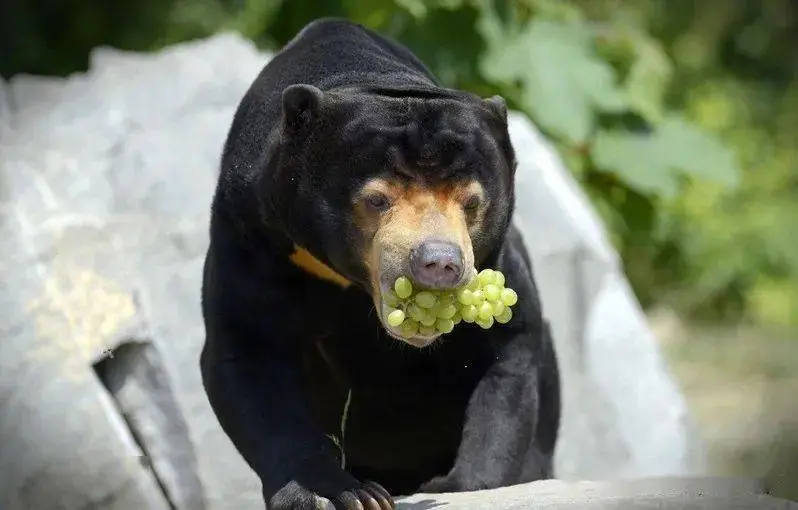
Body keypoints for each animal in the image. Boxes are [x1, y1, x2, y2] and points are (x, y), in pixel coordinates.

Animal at [200, 17, 564, 510]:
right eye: (376, 199)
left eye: (472, 202)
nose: (439, 263)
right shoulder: (253, 230)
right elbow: (249, 352)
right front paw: (338, 494)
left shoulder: (497, 258)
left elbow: (507, 350)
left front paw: (459, 485)